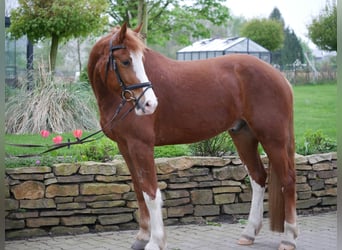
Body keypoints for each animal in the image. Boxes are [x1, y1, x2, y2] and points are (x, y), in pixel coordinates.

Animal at [87, 22, 296, 249]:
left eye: (141, 60)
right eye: (126, 61)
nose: (150, 104)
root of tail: (280, 76)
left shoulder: (141, 146)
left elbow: (151, 193)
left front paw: (155, 241)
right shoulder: (125, 146)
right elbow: (139, 190)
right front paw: (142, 237)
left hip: (273, 138)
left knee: (288, 180)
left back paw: (289, 238)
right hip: (243, 135)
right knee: (258, 177)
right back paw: (249, 234)